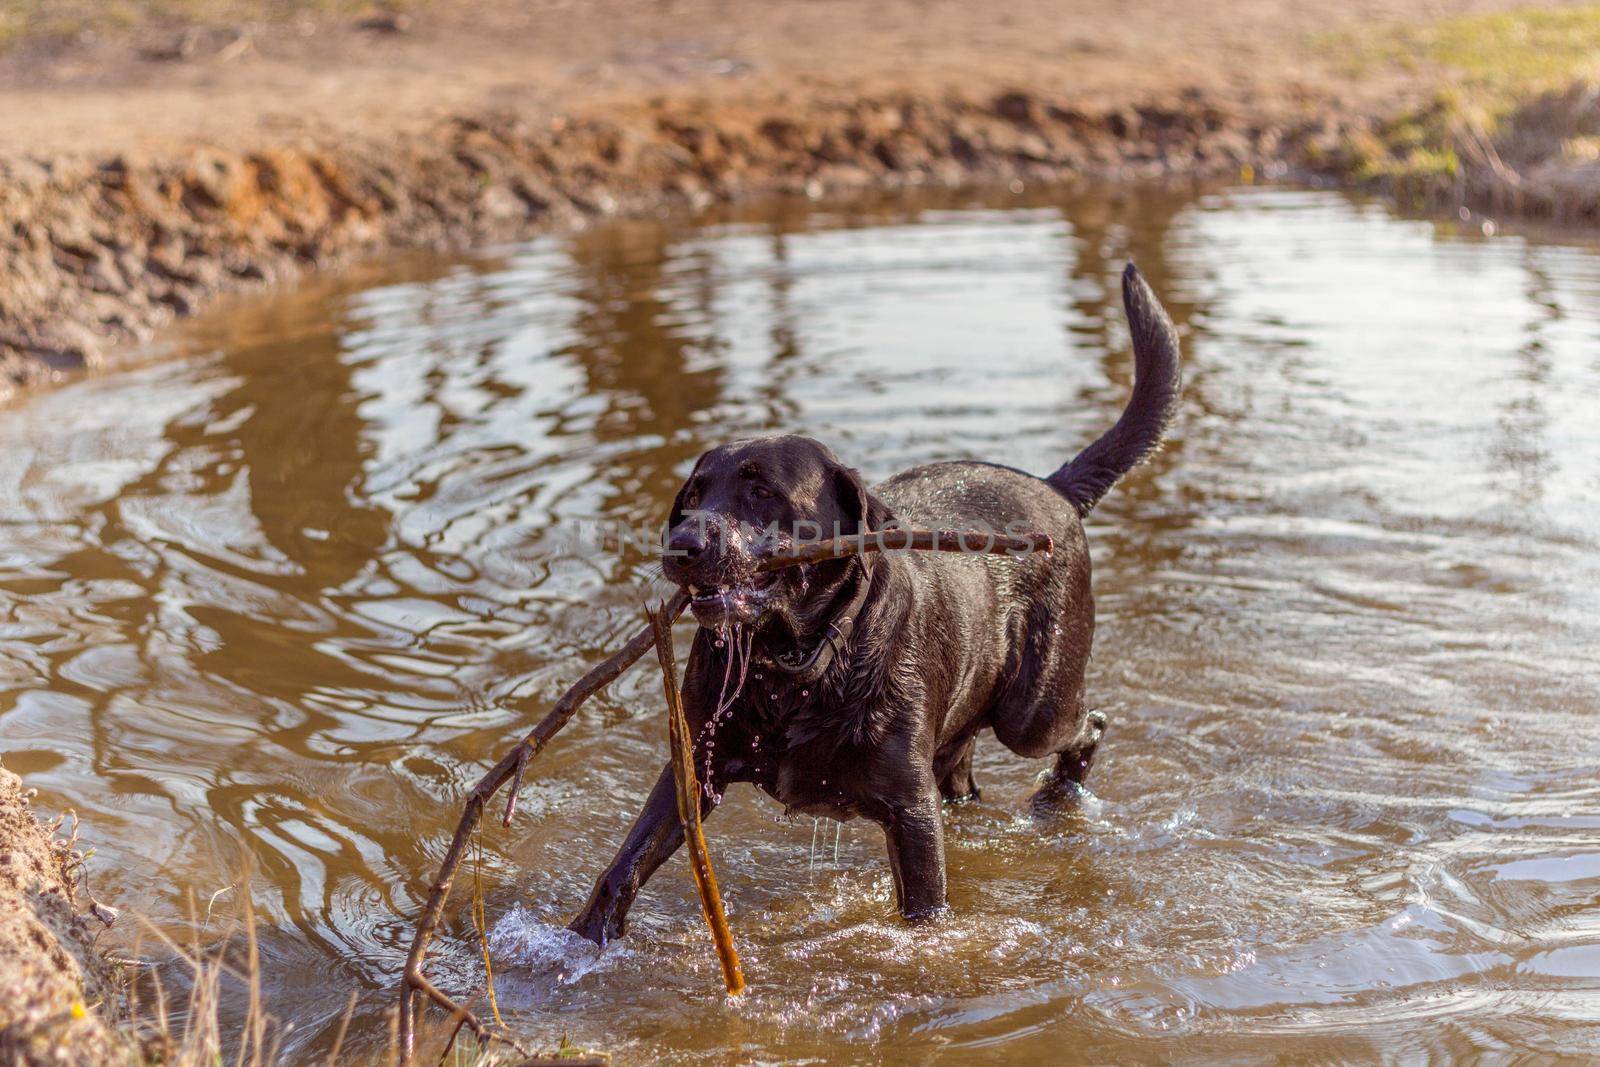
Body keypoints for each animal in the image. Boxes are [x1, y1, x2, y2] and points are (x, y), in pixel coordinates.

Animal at [569, 265, 1184, 940]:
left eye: (761, 490)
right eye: (693, 495)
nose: (681, 545)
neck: (791, 669)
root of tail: (1054, 488)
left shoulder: (909, 812)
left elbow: (927, 911)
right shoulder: (693, 769)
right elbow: (624, 866)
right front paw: (581, 942)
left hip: (1033, 710)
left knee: (1087, 727)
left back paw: (1057, 797)